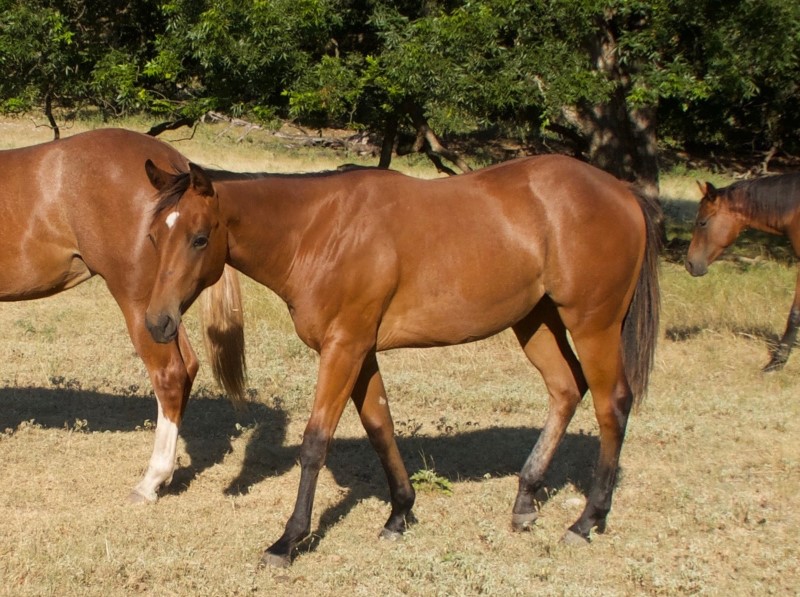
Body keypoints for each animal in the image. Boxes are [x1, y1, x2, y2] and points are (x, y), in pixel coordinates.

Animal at [0, 129, 244, 502]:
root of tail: (172, 162)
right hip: (164, 314)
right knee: (186, 367)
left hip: (139, 305)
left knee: (169, 374)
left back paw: (151, 481)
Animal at [142, 156, 664, 564]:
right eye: (152, 238)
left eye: (200, 238)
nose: (157, 322)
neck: (320, 231)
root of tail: (621, 191)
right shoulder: (361, 351)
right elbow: (380, 426)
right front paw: (400, 512)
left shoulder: (344, 349)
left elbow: (315, 442)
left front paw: (289, 540)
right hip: (535, 320)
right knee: (565, 388)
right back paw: (525, 500)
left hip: (593, 325)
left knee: (612, 405)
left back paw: (586, 520)